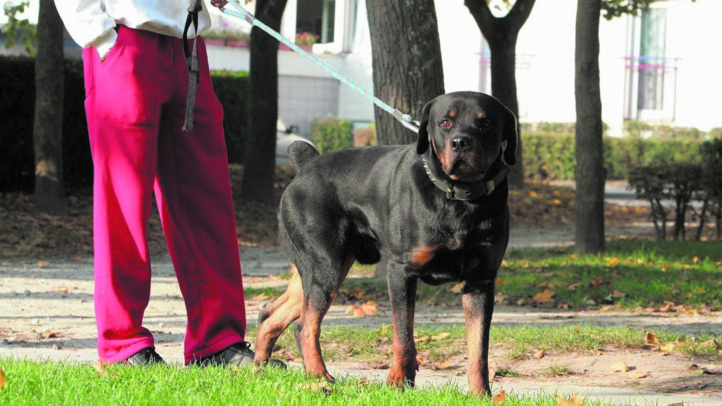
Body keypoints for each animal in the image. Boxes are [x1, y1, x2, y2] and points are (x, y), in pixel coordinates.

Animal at [252, 92, 512, 396]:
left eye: (486, 123)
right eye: (445, 122)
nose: (461, 142)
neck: (460, 199)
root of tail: (306, 165)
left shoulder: (481, 281)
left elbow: (478, 349)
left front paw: (481, 394)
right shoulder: (401, 271)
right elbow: (403, 335)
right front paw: (398, 382)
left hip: (314, 268)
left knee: (272, 314)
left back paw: (258, 368)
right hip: (327, 265)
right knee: (305, 326)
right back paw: (319, 377)